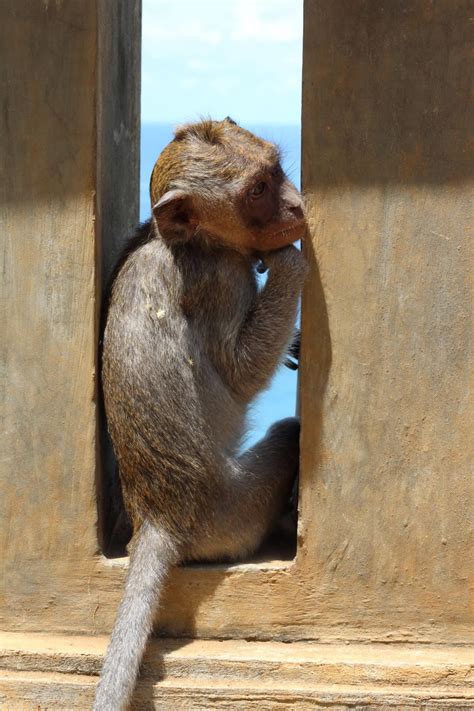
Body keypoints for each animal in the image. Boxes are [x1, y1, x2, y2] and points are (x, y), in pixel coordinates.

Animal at [93, 118, 308, 711]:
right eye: (257, 191)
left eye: (275, 171)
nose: (297, 207)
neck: (191, 240)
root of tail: (157, 516)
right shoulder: (220, 280)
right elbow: (241, 370)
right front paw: (289, 262)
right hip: (230, 513)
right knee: (286, 439)